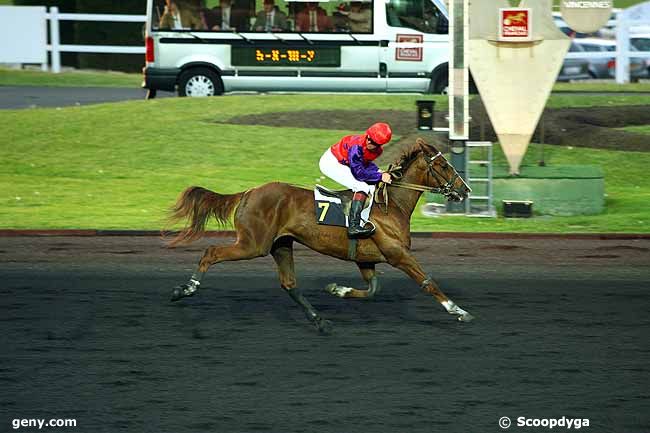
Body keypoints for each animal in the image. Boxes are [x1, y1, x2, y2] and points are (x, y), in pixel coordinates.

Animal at [166, 137, 470, 332]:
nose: (464, 190)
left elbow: (373, 289)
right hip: (253, 244)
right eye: (444, 166)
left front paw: (337, 289)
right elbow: (427, 282)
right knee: (211, 252)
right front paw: (458, 311)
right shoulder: (398, 254)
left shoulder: (367, 259)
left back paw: (319, 320)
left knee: (289, 283)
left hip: (280, 245)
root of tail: (248, 192)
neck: (390, 205)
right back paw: (185, 289)